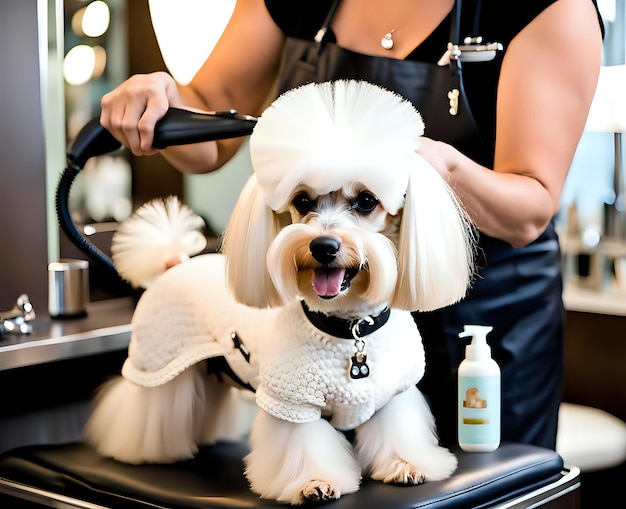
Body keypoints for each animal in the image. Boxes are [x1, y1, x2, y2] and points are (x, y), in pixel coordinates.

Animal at [83, 80, 472, 504]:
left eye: (367, 201)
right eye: (302, 201)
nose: (323, 246)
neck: (349, 329)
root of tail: (177, 262)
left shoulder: (394, 395)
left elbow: (397, 433)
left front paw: (406, 465)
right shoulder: (291, 403)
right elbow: (303, 446)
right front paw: (314, 483)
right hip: (159, 364)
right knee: (144, 408)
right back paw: (134, 449)